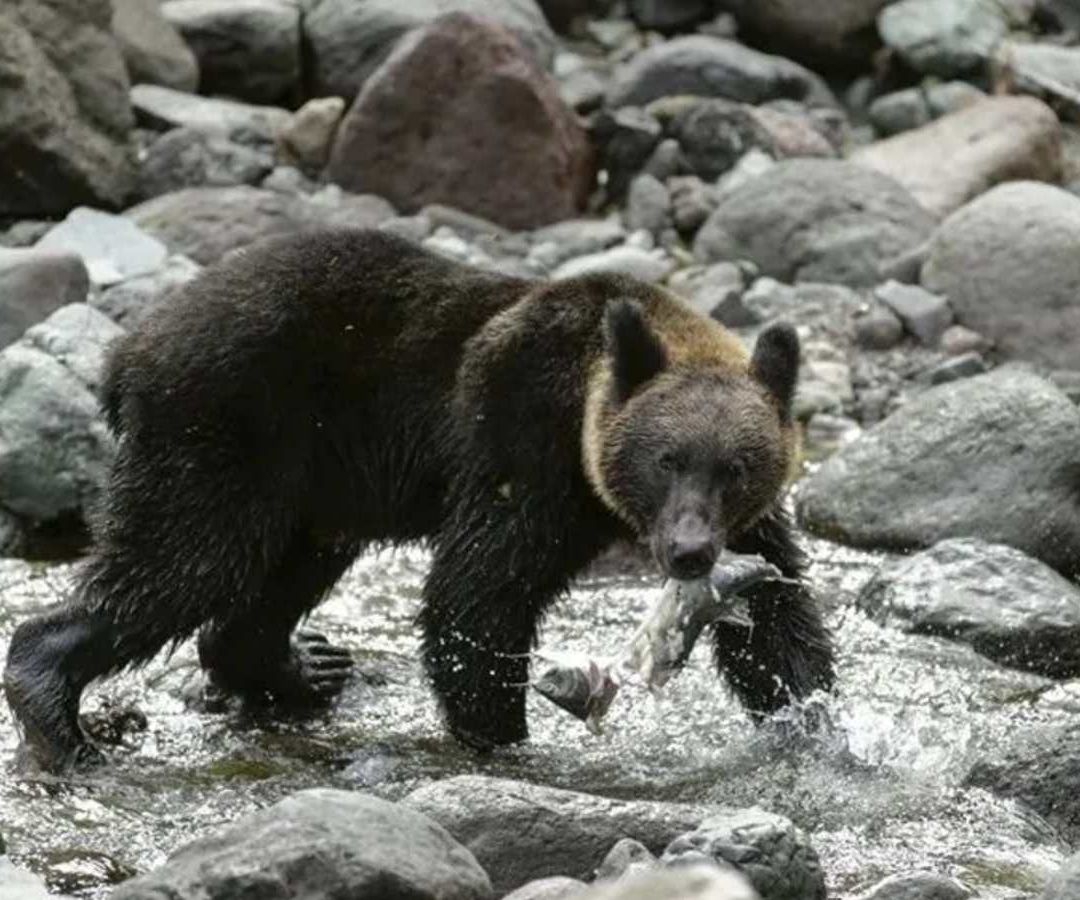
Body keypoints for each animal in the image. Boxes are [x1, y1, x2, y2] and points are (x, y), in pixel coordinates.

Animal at [3, 228, 835, 772]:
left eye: (737, 467)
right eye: (666, 460)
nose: (689, 551)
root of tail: (127, 351)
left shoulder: (750, 527)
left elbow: (778, 619)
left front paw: (812, 724)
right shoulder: (521, 441)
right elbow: (477, 593)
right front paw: (504, 738)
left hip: (313, 484)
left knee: (270, 580)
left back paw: (306, 666)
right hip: (225, 432)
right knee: (183, 563)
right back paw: (57, 714)